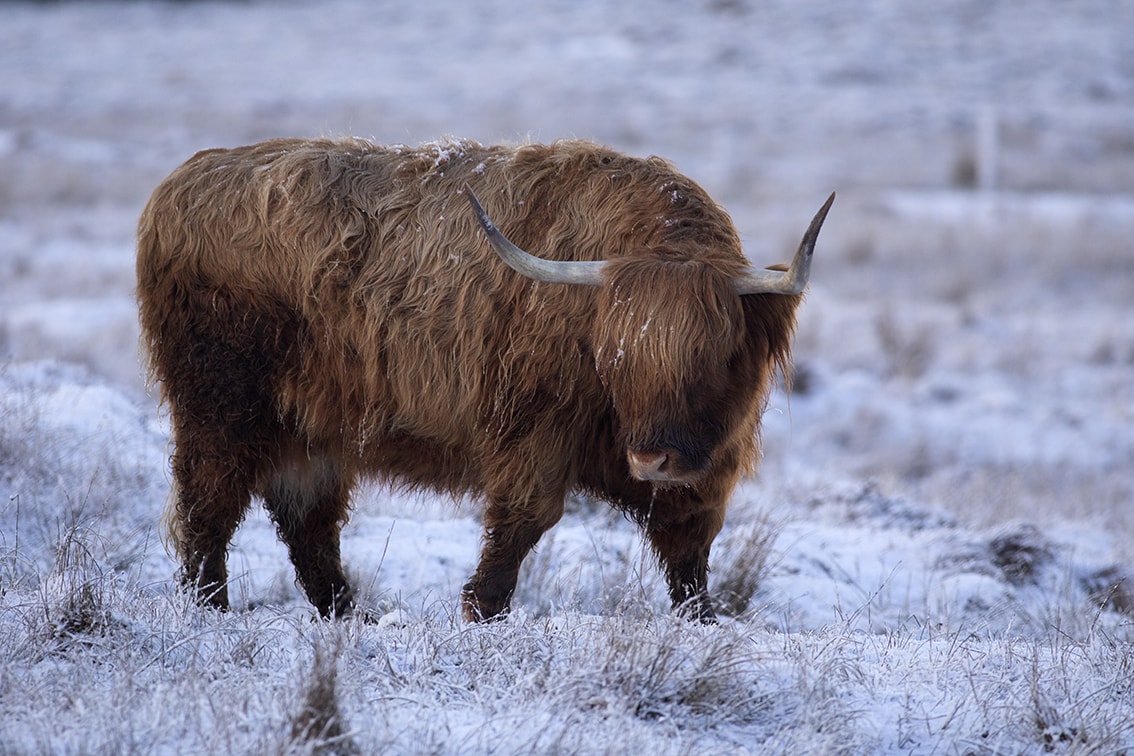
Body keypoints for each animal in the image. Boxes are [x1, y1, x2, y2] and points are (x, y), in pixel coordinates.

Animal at [139, 138, 834, 625]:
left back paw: (348, 615)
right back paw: (211, 608)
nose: (652, 459)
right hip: (219, 406)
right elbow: (524, 519)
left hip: (311, 425)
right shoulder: (534, 432)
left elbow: (690, 547)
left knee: (306, 520)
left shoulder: (709, 463)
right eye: (615, 360)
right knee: (209, 503)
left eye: (715, 356)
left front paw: (702, 623)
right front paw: (483, 610)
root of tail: (182, 182)